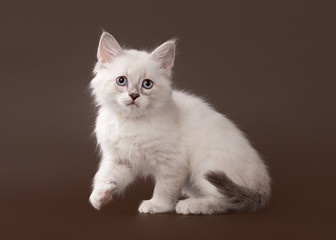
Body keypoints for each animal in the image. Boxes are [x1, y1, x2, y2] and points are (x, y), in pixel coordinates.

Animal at [88, 31, 270, 214]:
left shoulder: (172, 163)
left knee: (222, 202)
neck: (131, 121)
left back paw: (190, 205)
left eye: (147, 84)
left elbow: (165, 189)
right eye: (121, 81)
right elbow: (105, 175)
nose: (133, 95)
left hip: (207, 164)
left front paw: (157, 205)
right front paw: (100, 194)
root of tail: (262, 179)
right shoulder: (120, 160)